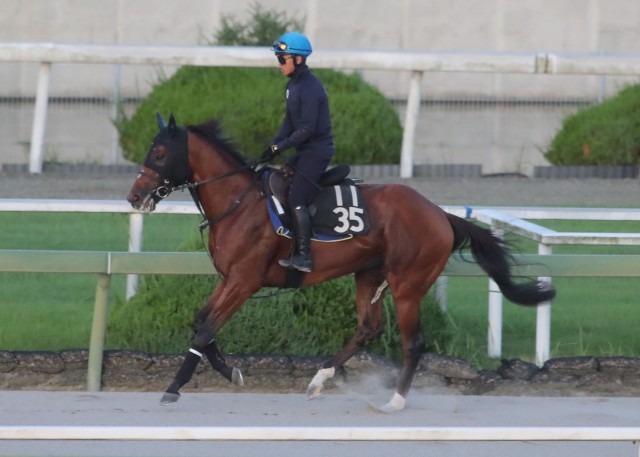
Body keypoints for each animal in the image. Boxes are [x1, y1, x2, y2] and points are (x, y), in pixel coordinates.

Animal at [126, 114, 556, 414]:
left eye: (159, 153)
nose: (135, 196)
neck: (238, 202)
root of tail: (439, 214)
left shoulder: (244, 281)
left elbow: (204, 331)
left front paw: (173, 388)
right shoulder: (230, 278)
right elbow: (202, 322)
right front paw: (230, 371)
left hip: (408, 282)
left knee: (413, 341)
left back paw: (395, 401)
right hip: (369, 274)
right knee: (367, 327)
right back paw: (320, 378)